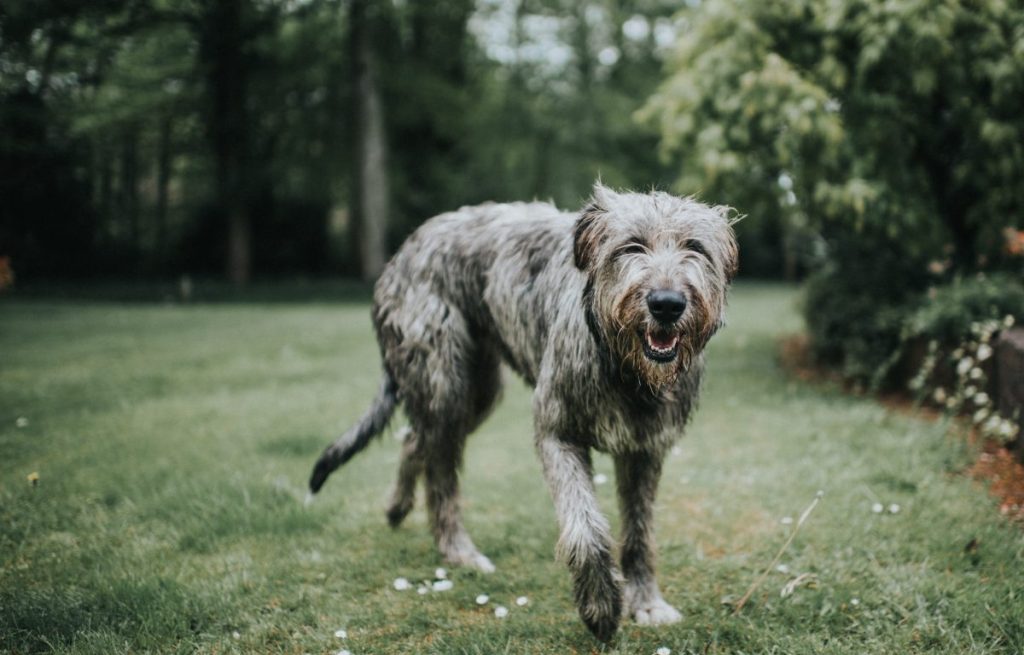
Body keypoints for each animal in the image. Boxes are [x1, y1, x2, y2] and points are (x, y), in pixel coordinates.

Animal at [307, 182, 741, 642]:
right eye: (630, 246)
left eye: (695, 247)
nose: (667, 304)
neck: (623, 367)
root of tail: (407, 246)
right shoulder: (557, 433)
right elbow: (585, 526)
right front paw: (601, 604)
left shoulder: (646, 449)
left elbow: (639, 533)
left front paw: (646, 602)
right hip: (447, 383)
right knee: (439, 471)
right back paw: (458, 550)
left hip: (477, 392)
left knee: (413, 438)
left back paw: (397, 506)